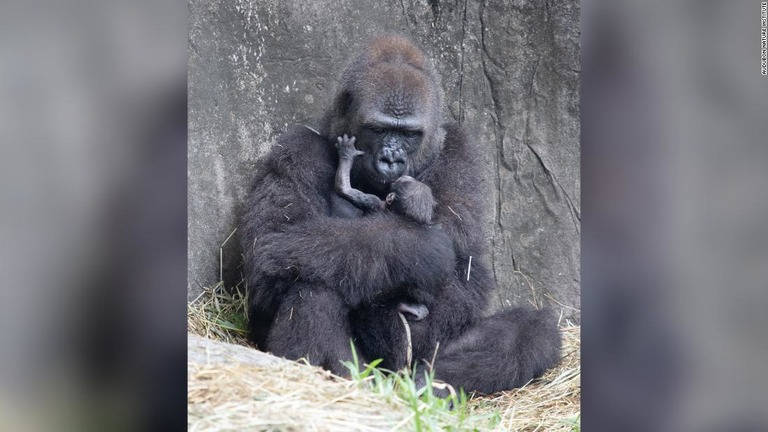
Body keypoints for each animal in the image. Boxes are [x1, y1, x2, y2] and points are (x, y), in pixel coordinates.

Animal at [240, 35, 560, 394]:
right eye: (379, 129)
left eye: (409, 134)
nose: (391, 159)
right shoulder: (296, 146)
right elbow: (272, 245)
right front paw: (423, 249)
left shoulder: (461, 147)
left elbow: (466, 261)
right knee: (311, 284)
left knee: (534, 330)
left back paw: (430, 383)